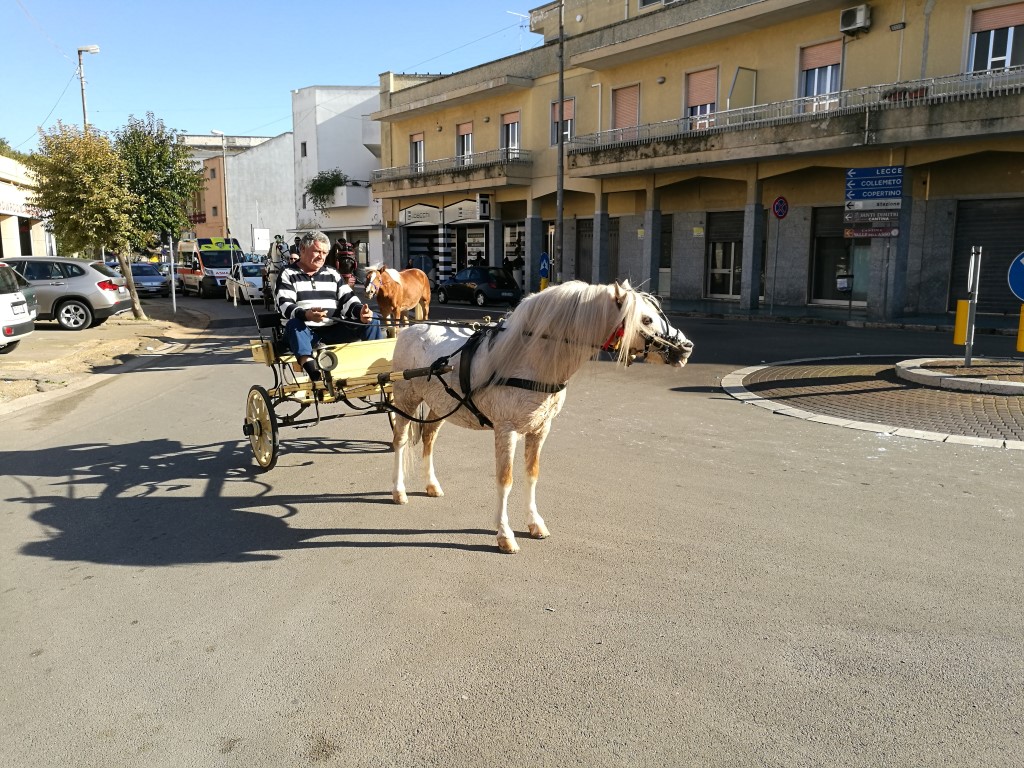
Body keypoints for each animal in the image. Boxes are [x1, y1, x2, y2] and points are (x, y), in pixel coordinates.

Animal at [388, 280, 694, 554]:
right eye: (646, 319)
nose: (687, 347)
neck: (528, 357)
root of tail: (411, 328)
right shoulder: (506, 430)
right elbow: (505, 480)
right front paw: (504, 534)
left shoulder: (540, 428)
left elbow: (532, 474)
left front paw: (534, 522)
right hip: (405, 400)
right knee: (400, 442)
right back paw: (398, 490)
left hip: (440, 404)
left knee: (429, 437)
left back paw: (431, 484)